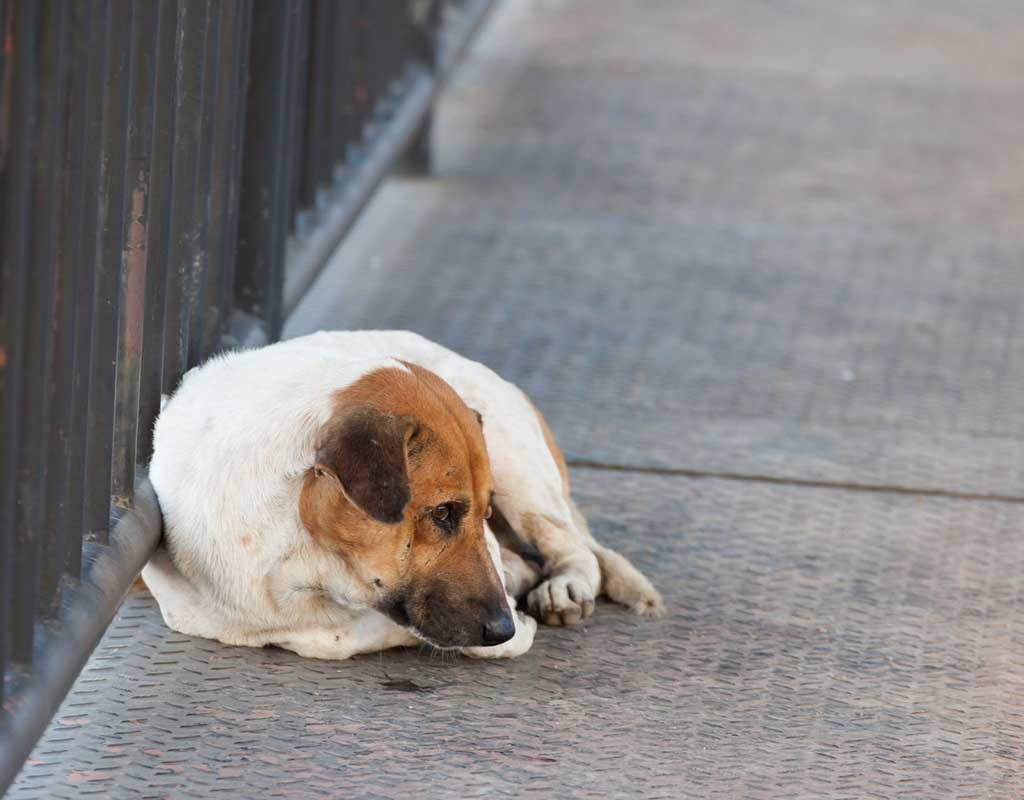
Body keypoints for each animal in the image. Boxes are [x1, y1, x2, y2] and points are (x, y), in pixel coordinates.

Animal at [144, 327, 663, 659]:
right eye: (443, 513)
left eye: (482, 511)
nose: (502, 628)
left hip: (519, 467)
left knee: (576, 548)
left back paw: (564, 585)